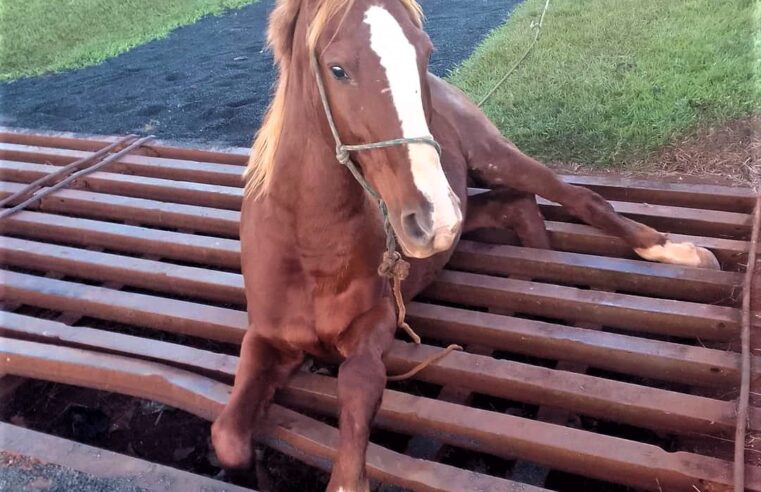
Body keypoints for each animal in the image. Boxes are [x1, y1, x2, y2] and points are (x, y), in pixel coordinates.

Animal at [212, 1, 720, 490]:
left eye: (424, 52)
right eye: (337, 69)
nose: (433, 217)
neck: (309, 254)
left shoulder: (378, 325)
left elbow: (356, 393)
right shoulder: (265, 338)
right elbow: (228, 438)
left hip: (494, 159)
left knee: (578, 197)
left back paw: (672, 251)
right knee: (513, 206)